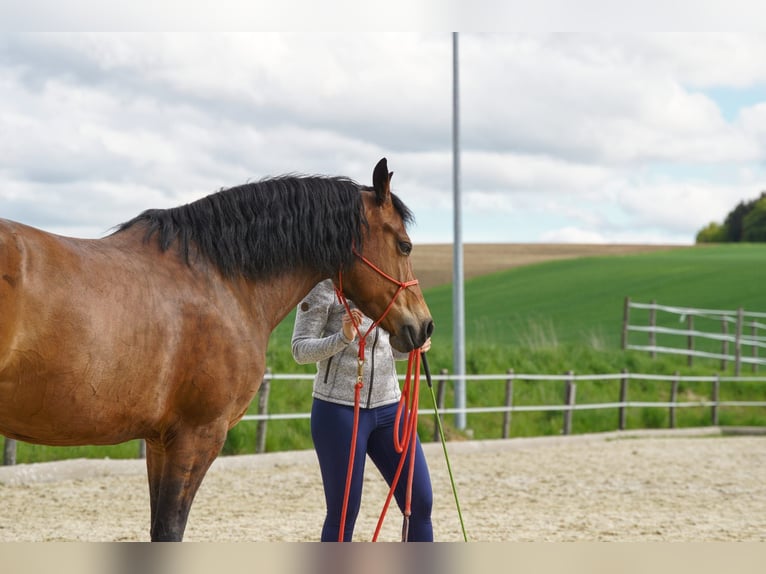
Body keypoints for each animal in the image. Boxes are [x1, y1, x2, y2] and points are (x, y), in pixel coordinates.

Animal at [0, 159, 432, 544]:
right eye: (405, 245)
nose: (424, 326)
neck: (221, 279)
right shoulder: (197, 435)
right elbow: (169, 530)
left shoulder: (160, 440)